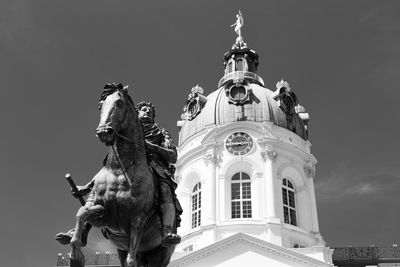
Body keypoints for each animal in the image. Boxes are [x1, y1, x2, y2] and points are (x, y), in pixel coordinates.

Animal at [70, 82, 177, 266]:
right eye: (100, 105)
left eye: (119, 103)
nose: (103, 131)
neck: (119, 170)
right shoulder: (103, 214)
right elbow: (82, 212)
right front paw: (75, 255)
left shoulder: (137, 219)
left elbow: (130, 261)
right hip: (122, 248)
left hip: (161, 253)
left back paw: (170, 235)